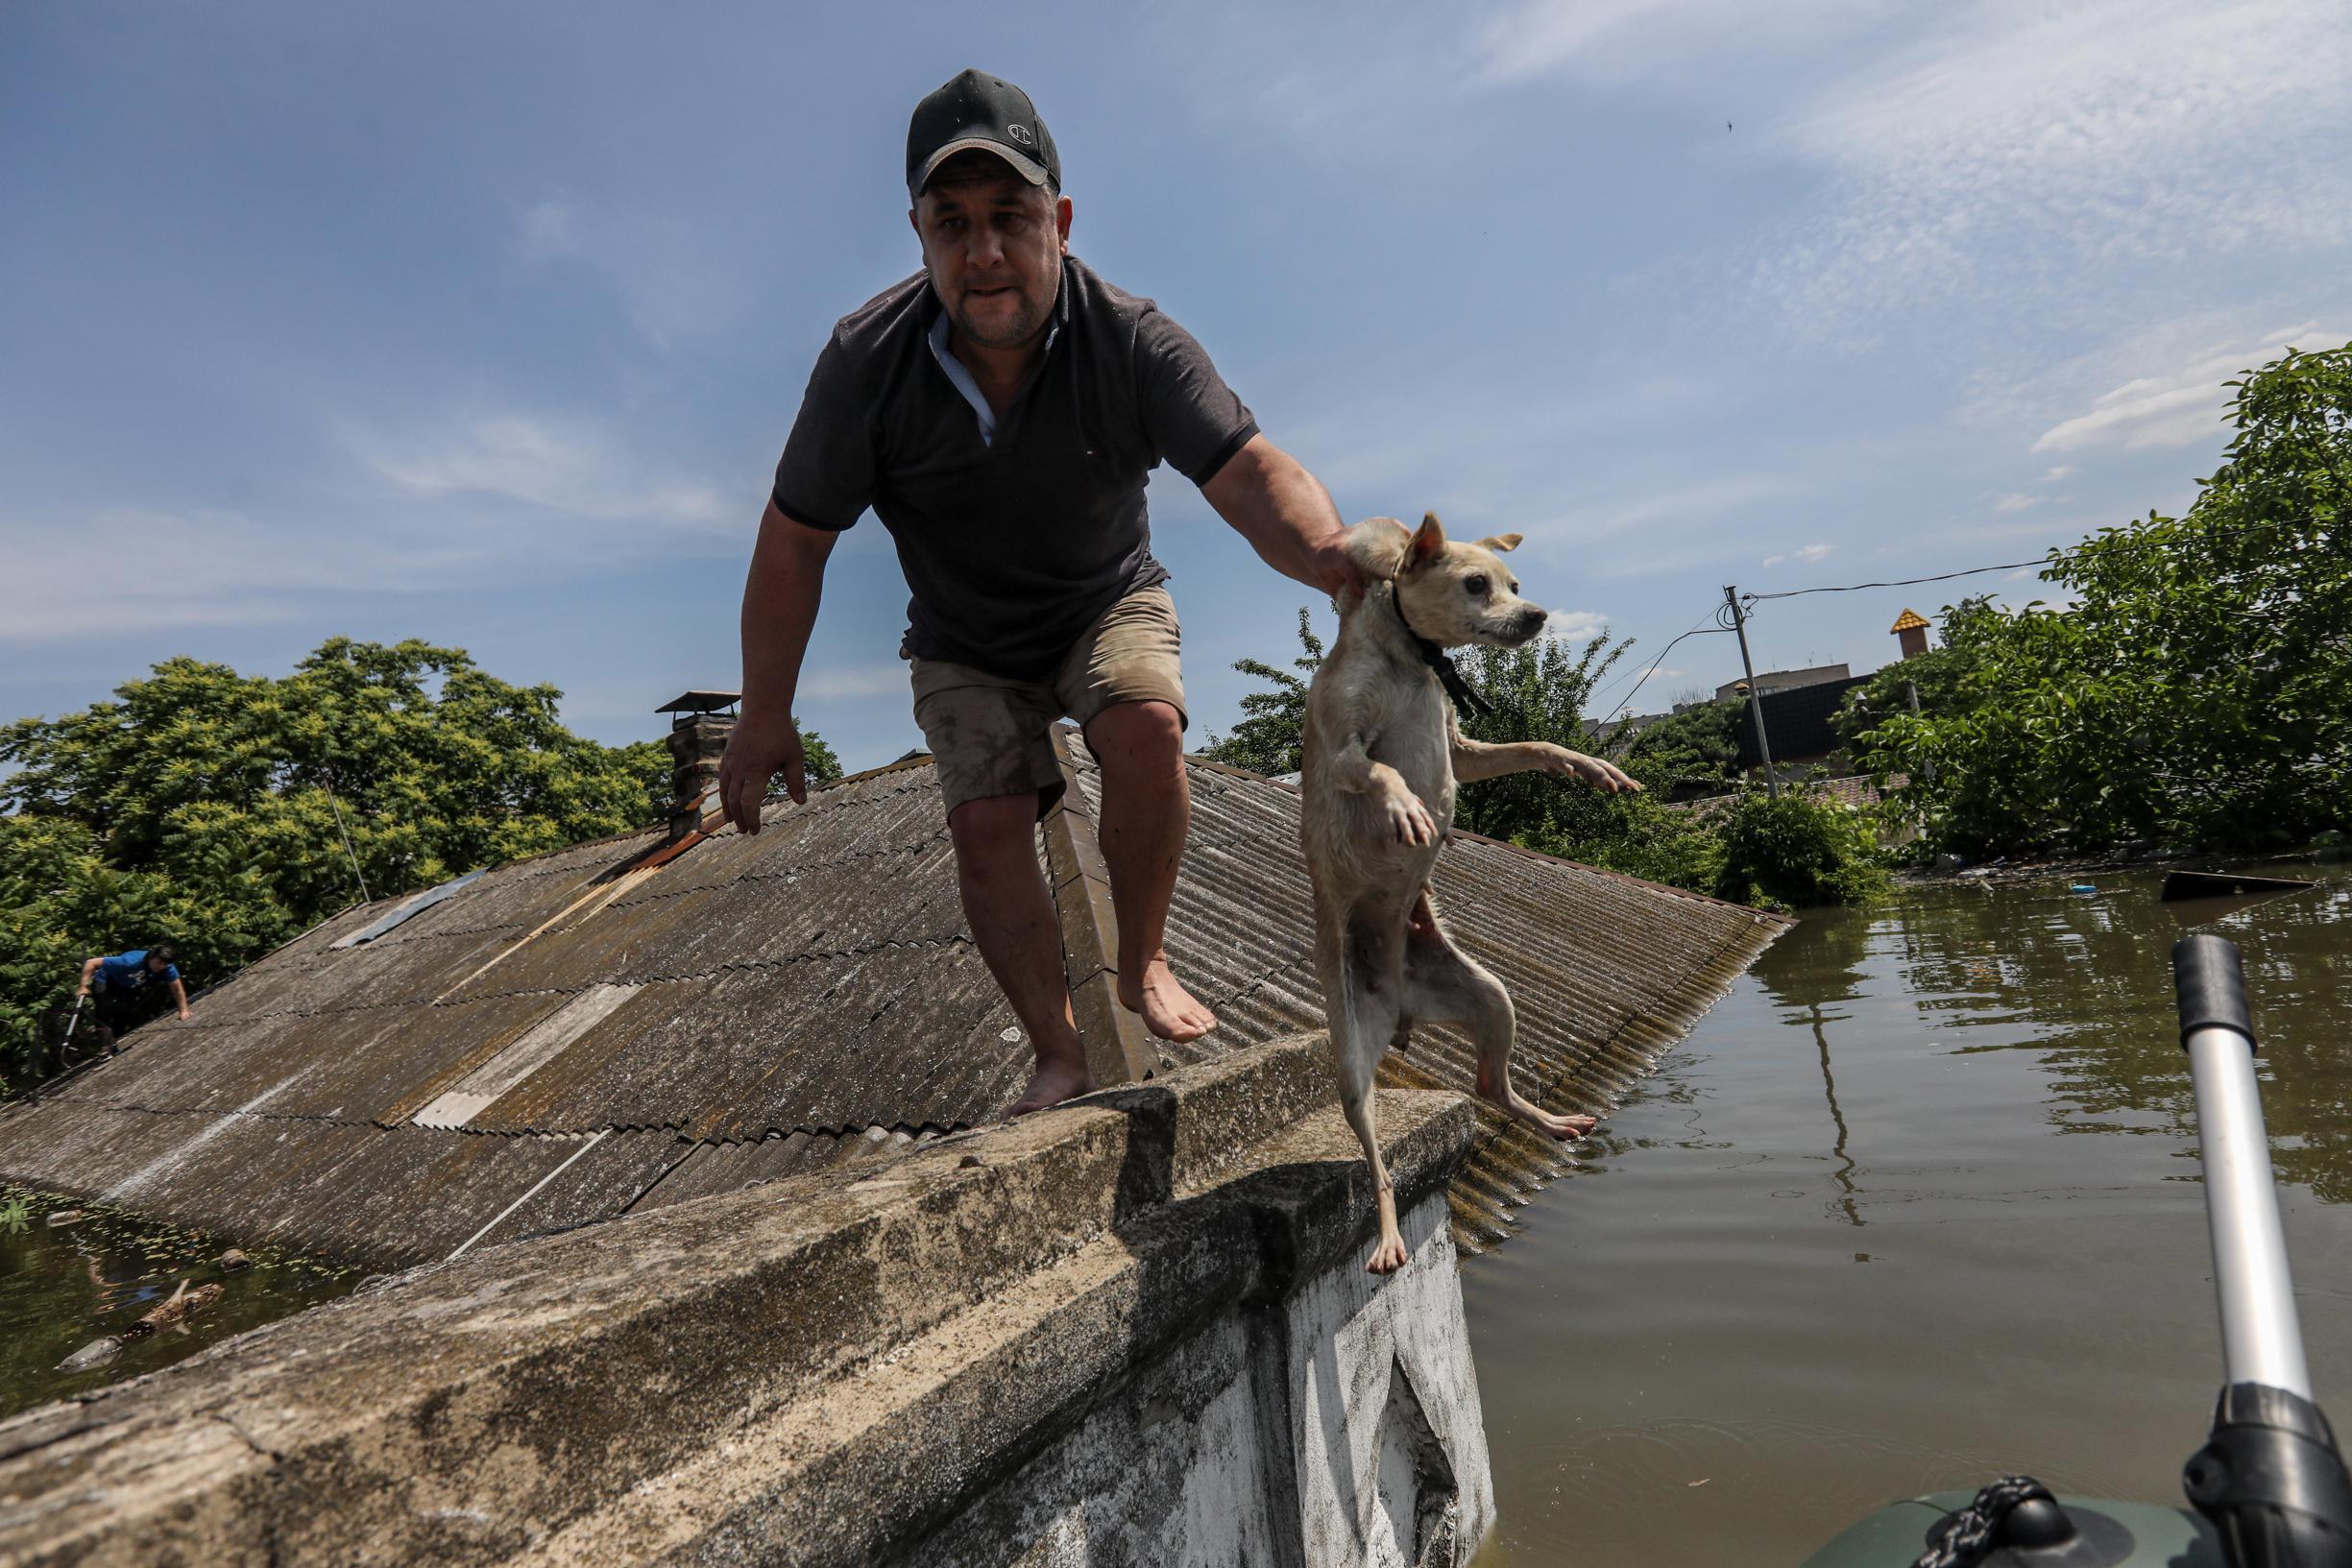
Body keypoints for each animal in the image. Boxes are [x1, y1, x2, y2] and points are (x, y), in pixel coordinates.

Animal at [1307, 515, 1637, 1278]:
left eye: (1515, 582)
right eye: (1476, 584)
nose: (1537, 614)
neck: (1412, 662)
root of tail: (1398, 1004)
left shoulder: (1464, 748)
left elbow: (1532, 745)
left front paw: (1588, 765)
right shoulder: (1342, 750)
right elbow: (1377, 771)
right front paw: (1406, 808)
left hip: (1490, 998)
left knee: (1493, 1086)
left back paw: (1551, 1119)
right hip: (1351, 1066)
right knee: (1379, 1167)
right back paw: (1388, 1233)